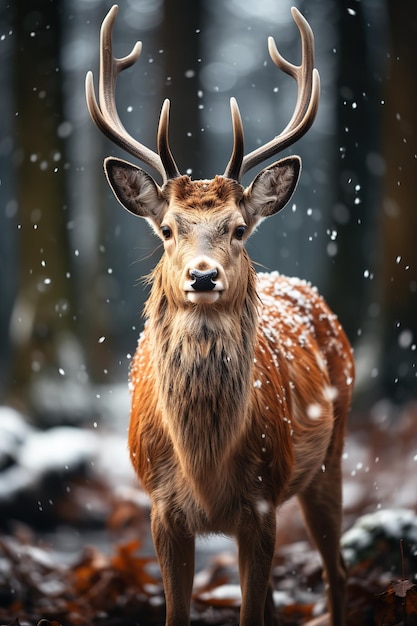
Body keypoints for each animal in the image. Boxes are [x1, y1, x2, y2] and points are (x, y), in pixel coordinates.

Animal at [86, 4, 352, 624]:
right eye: (166, 229)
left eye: (237, 228)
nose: (203, 277)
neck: (204, 468)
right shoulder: (160, 505)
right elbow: (179, 612)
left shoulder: (263, 498)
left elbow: (251, 613)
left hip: (331, 455)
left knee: (337, 570)